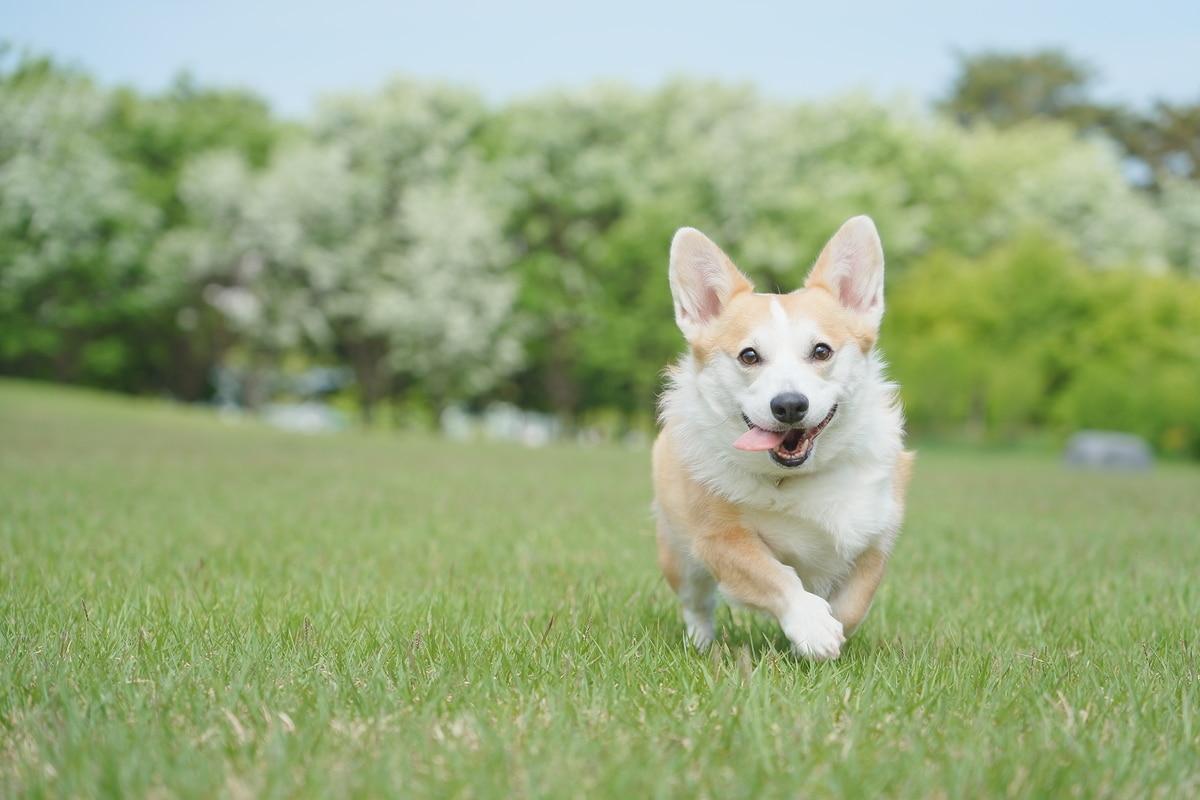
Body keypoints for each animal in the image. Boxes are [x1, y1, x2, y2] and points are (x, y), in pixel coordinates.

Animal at [652, 215, 912, 662]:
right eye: (749, 356)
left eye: (822, 351)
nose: (789, 405)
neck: (801, 477)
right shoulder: (720, 539)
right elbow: (775, 575)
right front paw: (812, 625)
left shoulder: (876, 538)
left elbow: (852, 605)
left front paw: (827, 630)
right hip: (679, 554)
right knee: (696, 602)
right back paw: (702, 643)